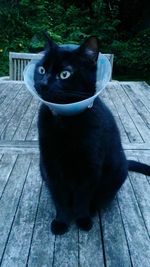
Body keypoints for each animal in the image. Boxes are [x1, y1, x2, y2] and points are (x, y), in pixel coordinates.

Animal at [34, 36, 150, 237]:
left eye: (65, 74)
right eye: (41, 70)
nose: (43, 83)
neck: (66, 121)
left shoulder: (90, 167)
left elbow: (83, 197)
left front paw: (83, 220)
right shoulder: (50, 165)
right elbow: (60, 197)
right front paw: (61, 221)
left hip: (117, 171)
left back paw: (93, 210)